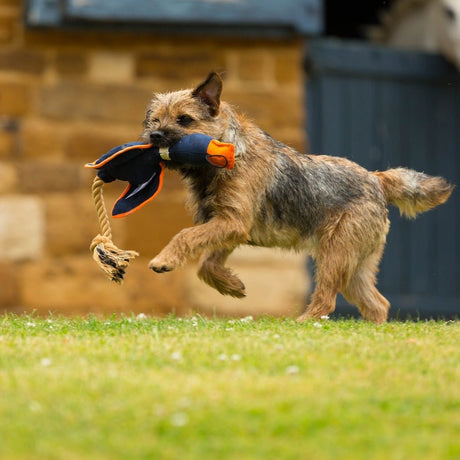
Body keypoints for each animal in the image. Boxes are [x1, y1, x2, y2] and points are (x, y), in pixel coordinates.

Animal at [143, 72, 452, 324]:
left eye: (184, 119)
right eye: (154, 119)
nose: (154, 134)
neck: (228, 151)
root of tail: (377, 179)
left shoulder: (233, 221)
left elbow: (185, 235)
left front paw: (164, 259)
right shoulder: (226, 225)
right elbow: (206, 264)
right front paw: (232, 285)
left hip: (335, 255)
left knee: (328, 300)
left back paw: (302, 324)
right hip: (355, 265)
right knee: (377, 303)